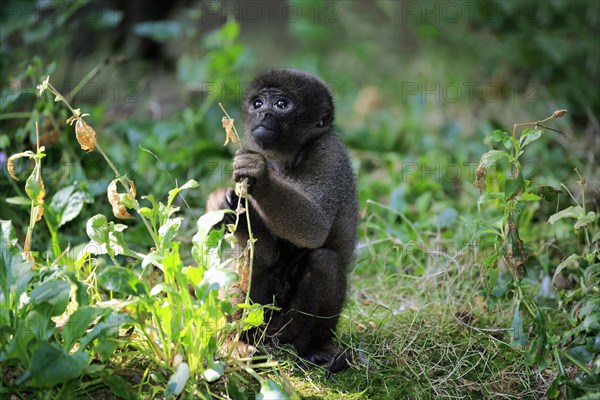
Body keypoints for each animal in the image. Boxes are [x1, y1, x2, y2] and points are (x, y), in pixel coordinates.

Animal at [206, 68, 356, 372]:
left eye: (281, 104)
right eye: (258, 103)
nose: (264, 114)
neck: (285, 159)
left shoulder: (329, 153)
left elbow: (314, 228)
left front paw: (258, 174)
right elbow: (263, 252)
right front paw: (226, 205)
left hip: (288, 328)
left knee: (325, 261)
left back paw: (312, 347)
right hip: (260, 319)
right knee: (251, 259)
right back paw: (236, 343)